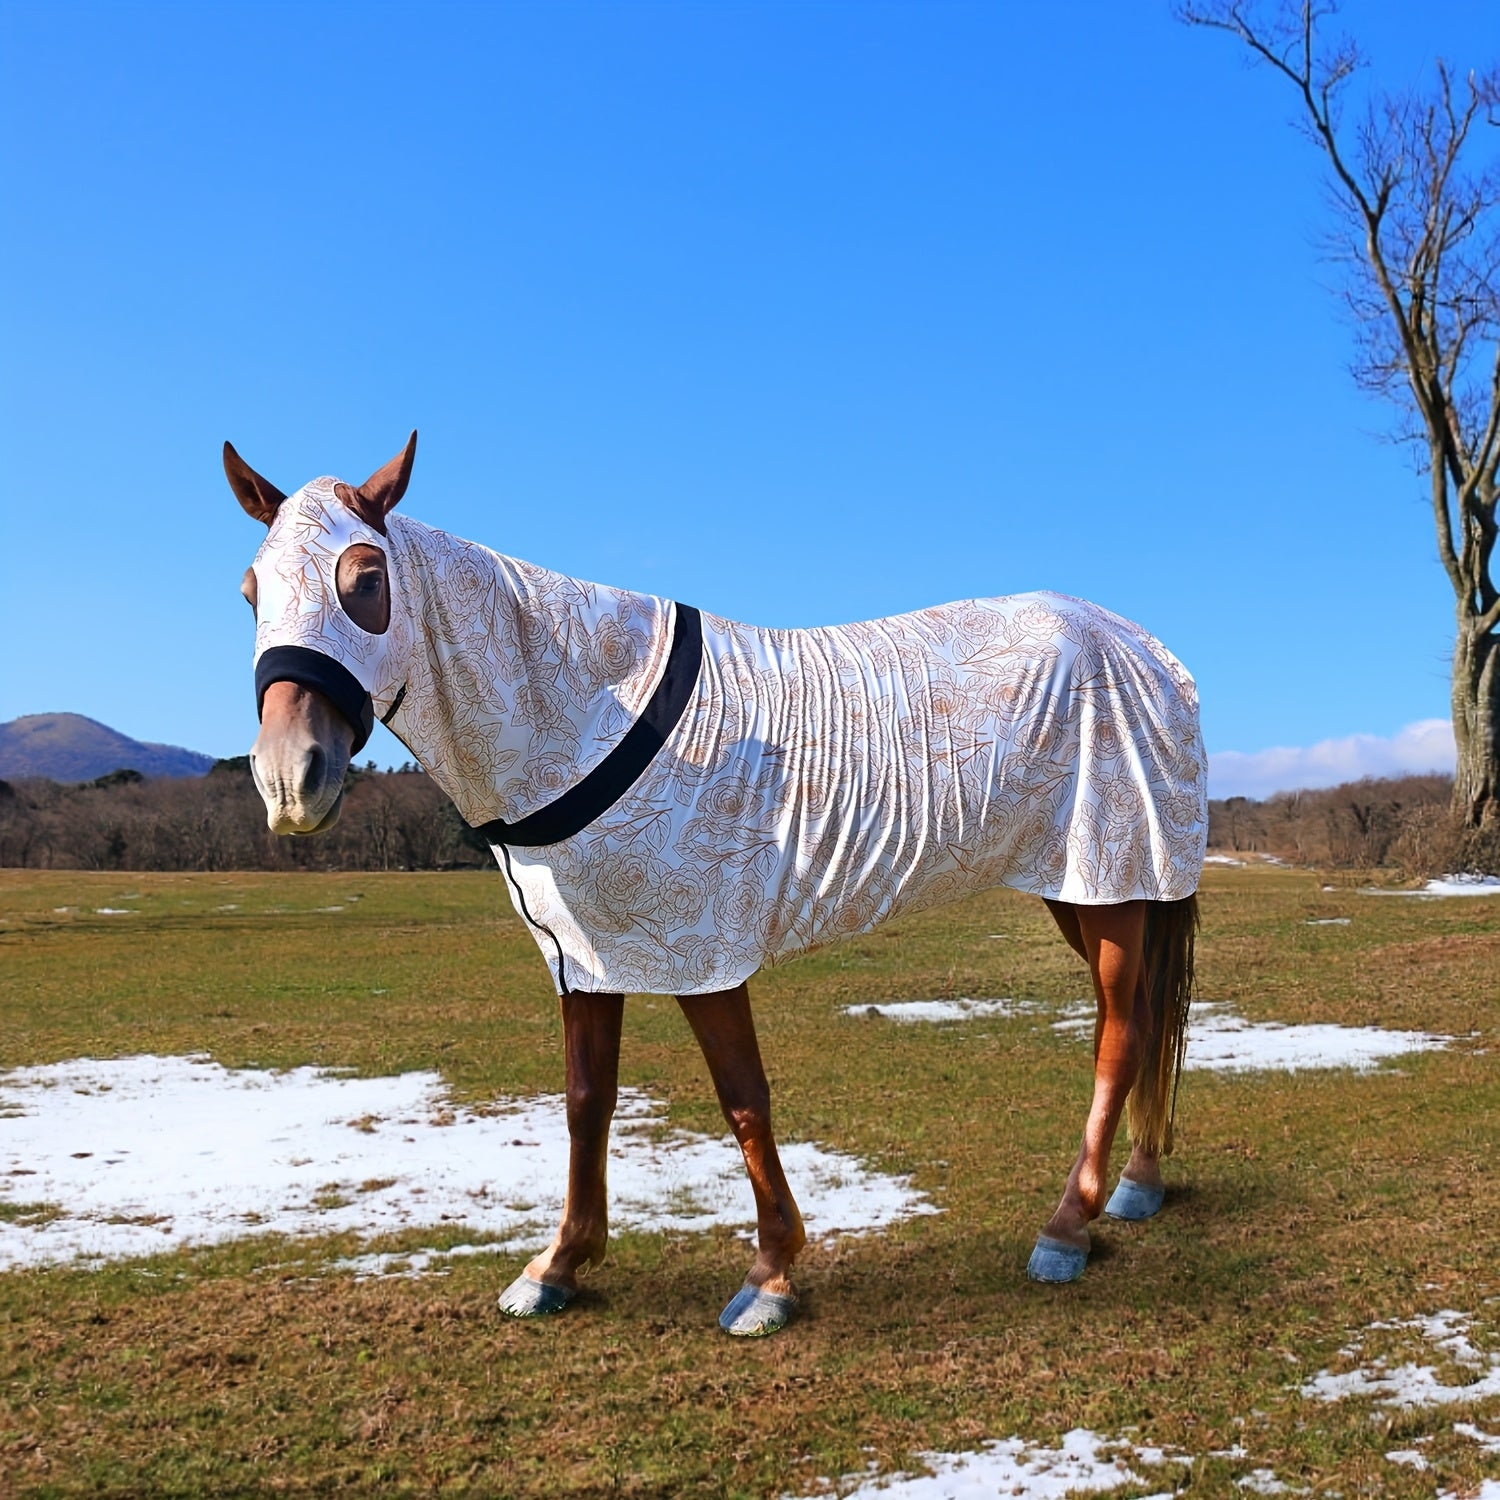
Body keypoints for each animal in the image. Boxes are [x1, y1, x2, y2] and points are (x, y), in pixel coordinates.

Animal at [227, 432, 1205, 1336]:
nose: (287, 780)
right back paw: (1135, 1185)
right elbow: (587, 1102)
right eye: (250, 591)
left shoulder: (703, 951)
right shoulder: (587, 954)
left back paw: (1068, 1225)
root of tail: (1146, 649)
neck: (585, 706)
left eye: (365, 580)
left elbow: (743, 1099)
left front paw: (771, 1274)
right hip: (1085, 891)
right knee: (1137, 1020)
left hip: (1111, 882)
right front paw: (560, 1264)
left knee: (1121, 1034)